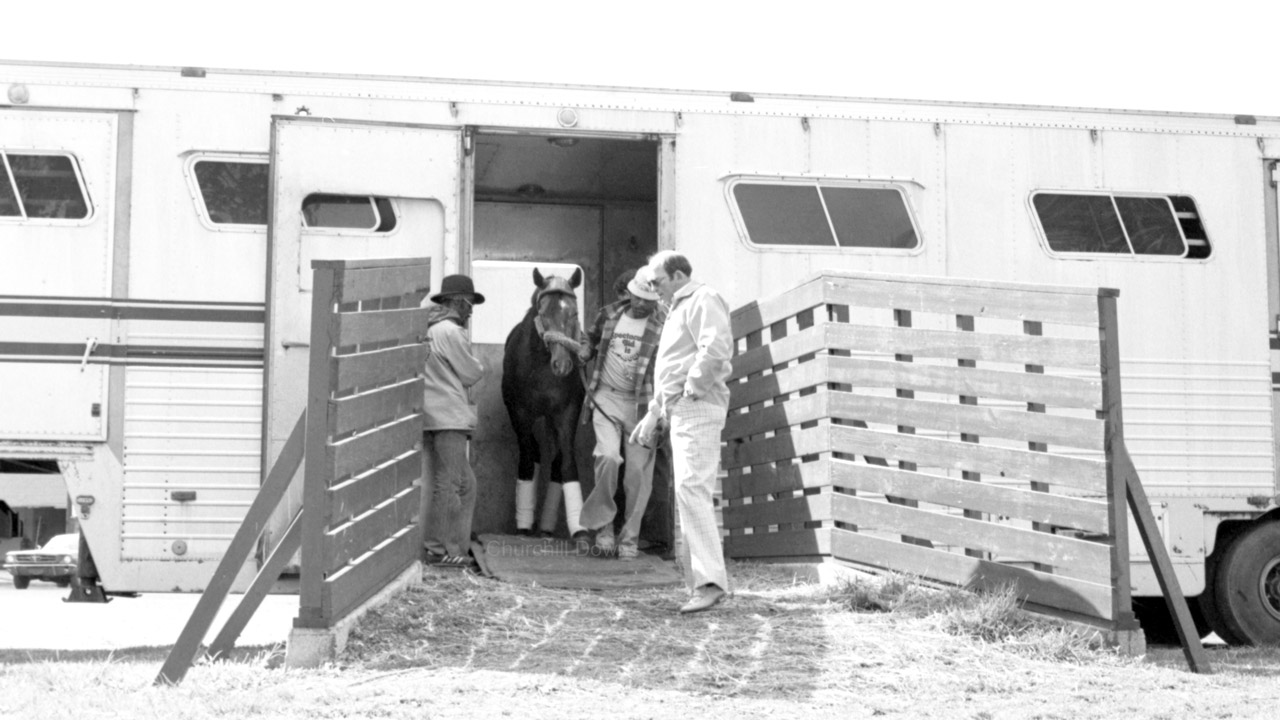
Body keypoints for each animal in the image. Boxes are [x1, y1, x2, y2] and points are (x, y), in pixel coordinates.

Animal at [499, 266, 588, 535]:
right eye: (543, 312)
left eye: (574, 313)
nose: (562, 365)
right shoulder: (519, 412)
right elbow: (529, 457)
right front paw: (523, 524)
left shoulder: (566, 412)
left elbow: (566, 461)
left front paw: (579, 529)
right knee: (534, 452)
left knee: (556, 459)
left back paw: (547, 526)